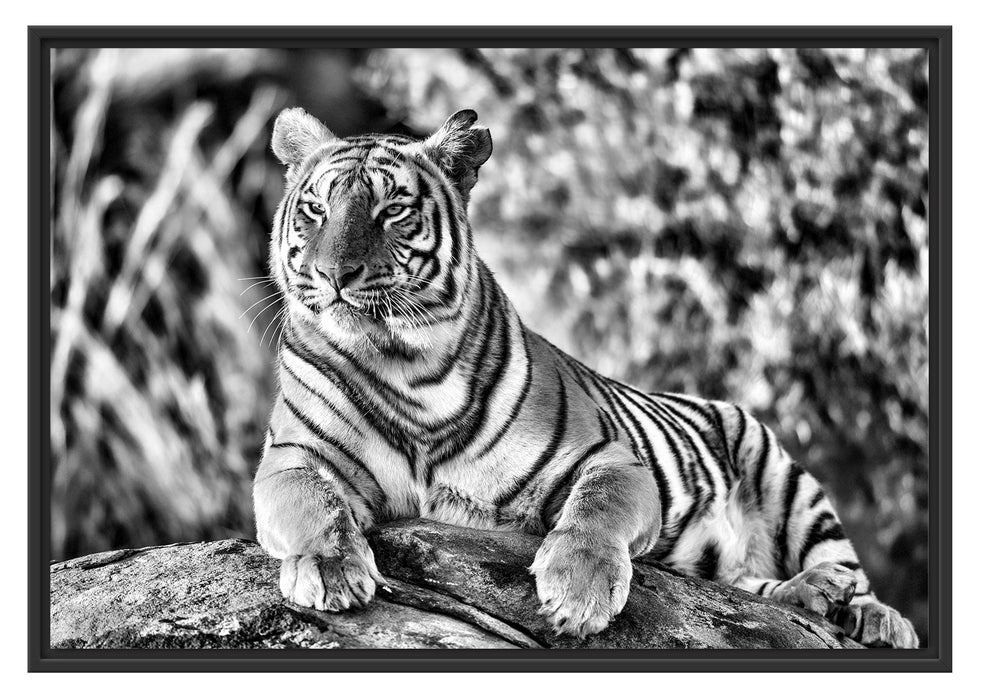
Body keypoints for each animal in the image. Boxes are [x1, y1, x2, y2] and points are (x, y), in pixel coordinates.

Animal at [252, 106, 919, 648]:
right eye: (316, 210)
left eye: (392, 210)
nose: (334, 273)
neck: (402, 365)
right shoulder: (293, 459)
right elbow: (313, 505)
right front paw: (332, 571)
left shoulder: (609, 457)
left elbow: (598, 508)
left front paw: (578, 590)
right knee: (747, 587)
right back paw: (813, 595)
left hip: (785, 476)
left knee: (842, 564)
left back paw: (870, 614)